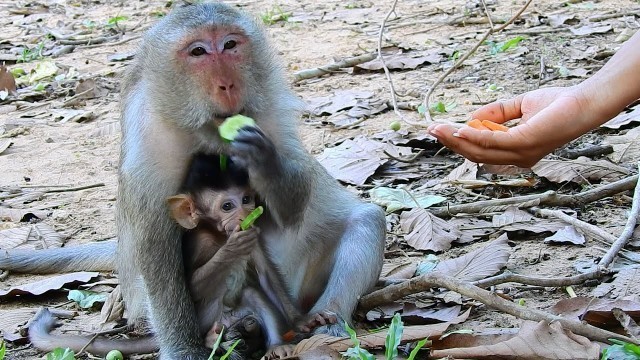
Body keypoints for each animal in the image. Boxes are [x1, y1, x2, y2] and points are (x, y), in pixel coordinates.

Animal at [29, 153, 318, 358]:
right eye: (227, 205)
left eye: (246, 199)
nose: (246, 215)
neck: (217, 234)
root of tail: (224, 321)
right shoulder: (201, 242)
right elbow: (189, 286)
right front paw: (230, 251)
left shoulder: (254, 236)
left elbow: (268, 276)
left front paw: (300, 320)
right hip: (205, 321)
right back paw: (211, 340)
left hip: (235, 314)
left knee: (251, 294)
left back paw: (276, 345)